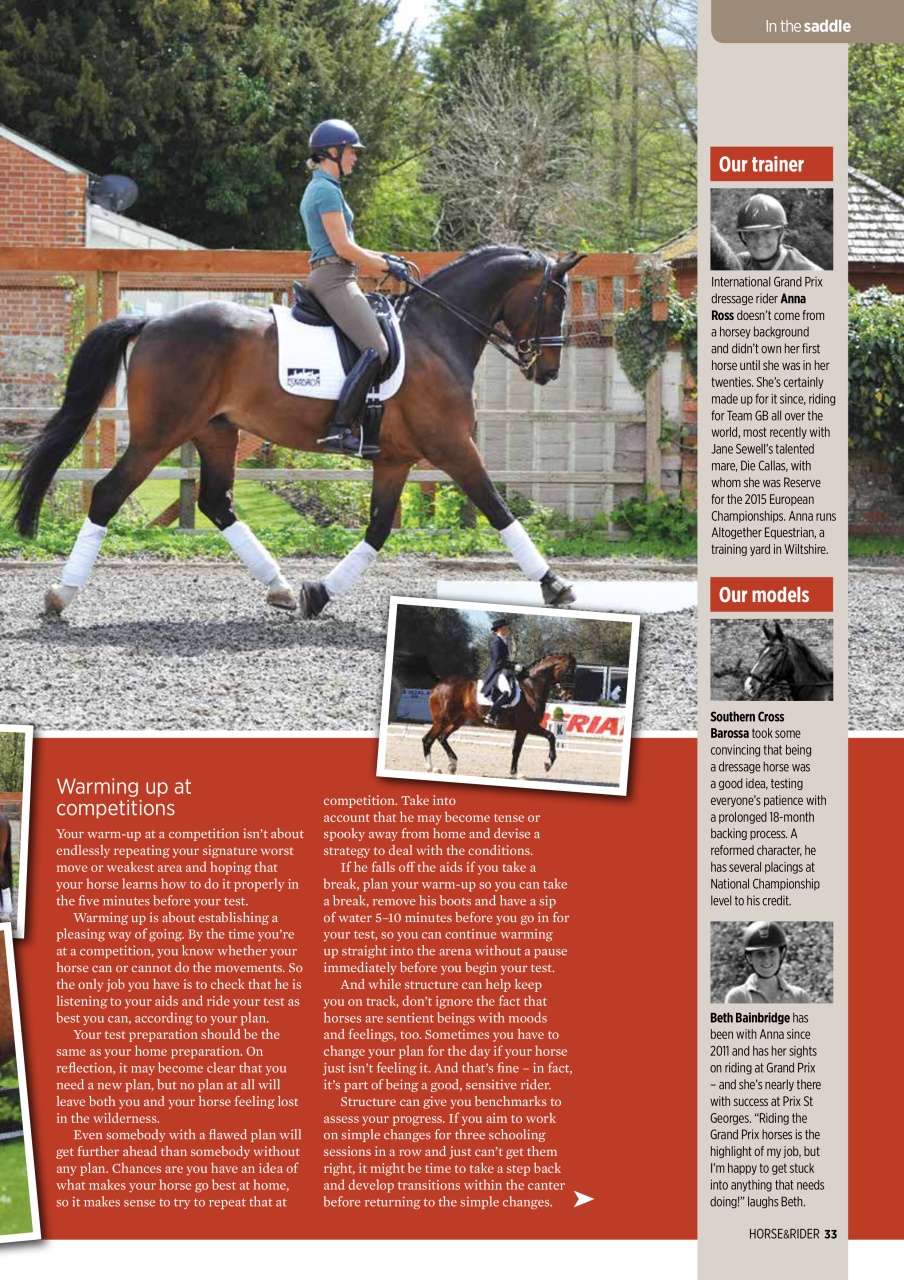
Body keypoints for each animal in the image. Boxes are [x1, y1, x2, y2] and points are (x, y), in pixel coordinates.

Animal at [13, 245, 585, 619]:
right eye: (554, 301)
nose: (550, 371)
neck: (436, 335)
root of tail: (151, 323)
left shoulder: (395, 458)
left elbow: (379, 529)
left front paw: (319, 594)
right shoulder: (451, 447)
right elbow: (498, 509)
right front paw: (555, 586)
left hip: (215, 433)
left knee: (216, 502)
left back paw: (283, 589)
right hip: (158, 436)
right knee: (109, 494)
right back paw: (60, 596)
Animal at [422, 652, 576, 778]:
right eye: (569, 672)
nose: (569, 695)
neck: (531, 688)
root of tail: (439, 682)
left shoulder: (526, 728)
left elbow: (542, 740)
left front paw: (521, 771)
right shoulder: (527, 727)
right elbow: (530, 744)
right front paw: (542, 765)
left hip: (456, 721)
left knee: (442, 737)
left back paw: (452, 765)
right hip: (443, 720)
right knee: (428, 739)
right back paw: (432, 768)